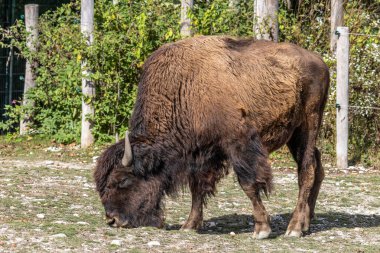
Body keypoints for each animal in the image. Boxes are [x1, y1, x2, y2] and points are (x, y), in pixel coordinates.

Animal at [93, 36, 328, 239]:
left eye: (122, 180)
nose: (112, 220)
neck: (185, 88)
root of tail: (320, 61)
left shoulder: (238, 144)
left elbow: (248, 184)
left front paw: (261, 229)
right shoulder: (201, 153)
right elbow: (197, 187)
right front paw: (189, 225)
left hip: (308, 125)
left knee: (306, 171)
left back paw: (294, 228)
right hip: (294, 135)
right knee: (317, 166)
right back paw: (306, 223)